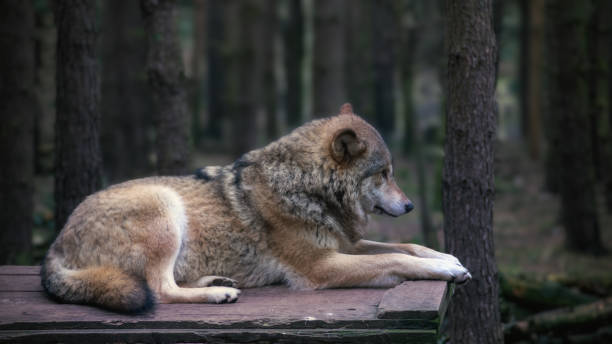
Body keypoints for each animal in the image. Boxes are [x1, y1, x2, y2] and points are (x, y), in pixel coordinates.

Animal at [40, 103, 468, 314]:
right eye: (384, 173)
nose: (410, 205)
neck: (305, 186)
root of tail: (55, 246)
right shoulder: (322, 265)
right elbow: (396, 258)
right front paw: (446, 270)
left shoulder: (342, 245)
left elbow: (407, 246)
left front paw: (448, 256)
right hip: (165, 206)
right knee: (158, 290)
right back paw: (217, 295)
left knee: (167, 283)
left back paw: (217, 282)